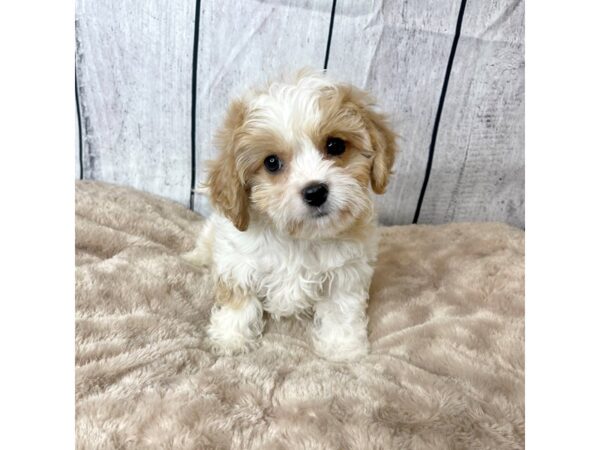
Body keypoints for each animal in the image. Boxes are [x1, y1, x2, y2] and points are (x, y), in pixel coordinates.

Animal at [185, 68, 396, 360]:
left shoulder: (346, 273)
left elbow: (342, 311)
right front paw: (231, 338)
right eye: (271, 162)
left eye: (335, 146)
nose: (315, 191)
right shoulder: (238, 262)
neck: (298, 238)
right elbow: (239, 302)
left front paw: (343, 348)